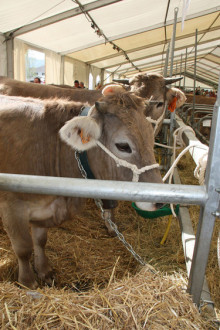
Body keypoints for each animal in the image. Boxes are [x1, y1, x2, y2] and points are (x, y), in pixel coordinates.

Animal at [0, 85, 163, 288]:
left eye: (151, 137)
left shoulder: (44, 208)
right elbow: (23, 248)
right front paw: (27, 283)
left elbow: (40, 240)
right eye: (123, 146)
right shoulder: (12, 207)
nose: (160, 201)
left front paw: (44, 271)